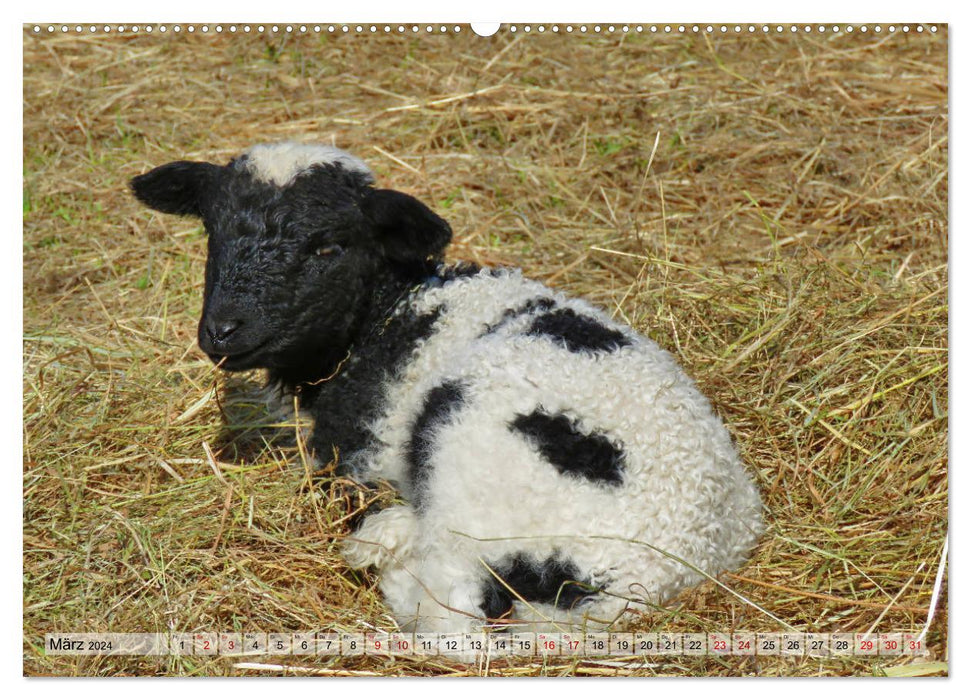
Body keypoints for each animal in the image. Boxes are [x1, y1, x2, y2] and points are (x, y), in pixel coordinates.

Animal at [131, 141, 768, 636]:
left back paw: (385, 549)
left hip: (475, 457)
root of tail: (650, 577)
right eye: (211, 231)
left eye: (328, 245)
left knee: (450, 610)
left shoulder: (367, 454)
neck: (387, 312)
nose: (222, 331)